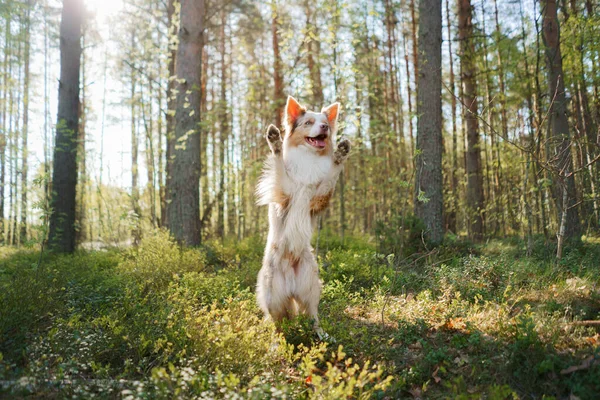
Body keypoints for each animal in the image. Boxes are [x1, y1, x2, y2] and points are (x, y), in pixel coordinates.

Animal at [254, 96, 350, 334]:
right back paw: (276, 340)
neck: (309, 159)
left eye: (325, 123)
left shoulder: (319, 198)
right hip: (271, 293)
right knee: (277, 321)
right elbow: (278, 163)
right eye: (308, 122)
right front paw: (275, 141)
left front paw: (341, 153)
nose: (324, 127)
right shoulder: (285, 193)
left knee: (312, 314)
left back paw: (322, 334)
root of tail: (291, 284)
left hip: (312, 285)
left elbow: (332, 174)